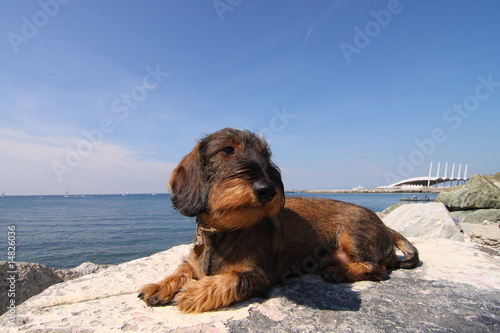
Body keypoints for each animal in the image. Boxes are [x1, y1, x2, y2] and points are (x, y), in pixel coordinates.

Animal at [138, 127, 418, 312]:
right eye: (227, 150)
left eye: (266, 156)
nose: (268, 189)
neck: (224, 230)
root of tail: (385, 226)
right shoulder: (194, 261)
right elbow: (183, 270)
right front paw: (160, 286)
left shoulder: (258, 276)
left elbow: (229, 281)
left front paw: (194, 292)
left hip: (354, 234)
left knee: (379, 269)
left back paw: (339, 271)